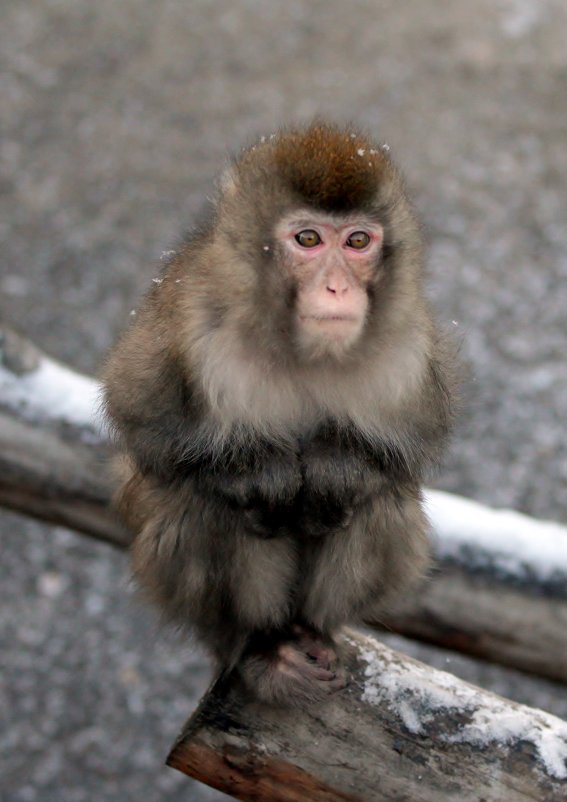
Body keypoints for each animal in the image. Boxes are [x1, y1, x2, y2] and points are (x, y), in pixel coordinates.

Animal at [101, 122, 458, 704]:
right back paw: (263, 648)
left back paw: (314, 631)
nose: (337, 287)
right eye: (308, 240)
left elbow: (416, 444)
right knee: (208, 506)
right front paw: (260, 469)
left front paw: (337, 466)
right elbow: (143, 425)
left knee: (381, 503)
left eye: (358, 242)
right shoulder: (186, 323)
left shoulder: (409, 346)